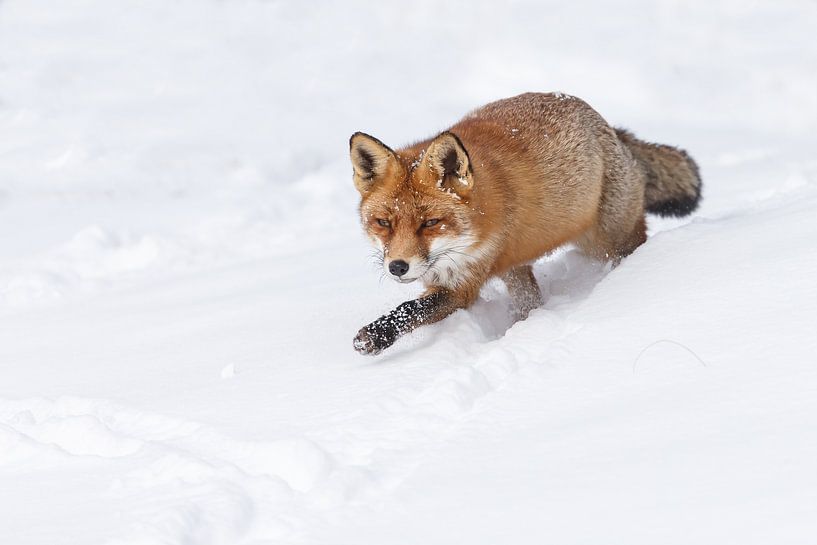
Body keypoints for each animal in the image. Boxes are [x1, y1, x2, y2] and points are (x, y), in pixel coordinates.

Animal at [350, 92, 701, 355]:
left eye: (430, 222)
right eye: (383, 222)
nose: (398, 266)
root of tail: (608, 126)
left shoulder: (462, 286)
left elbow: (410, 310)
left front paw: (374, 337)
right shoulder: (449, 277)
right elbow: (411, 308)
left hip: (609, 241)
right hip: (516, 269)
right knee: (528, 300)